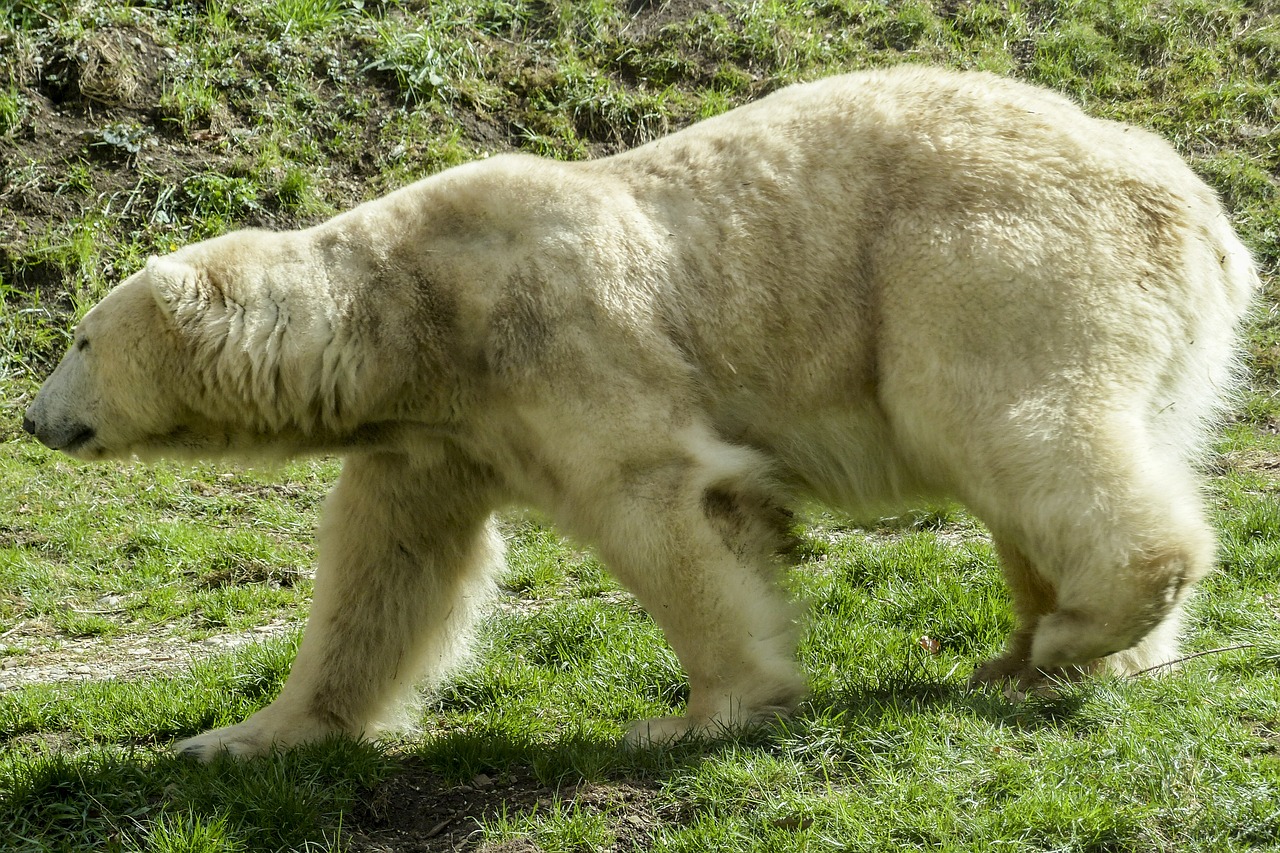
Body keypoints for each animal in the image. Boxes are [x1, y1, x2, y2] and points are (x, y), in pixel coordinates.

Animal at [22, 68, 1259, 758]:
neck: (414, 315)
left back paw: (1074, 628)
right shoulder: (439, 432)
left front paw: (706, 710)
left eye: (78, 338)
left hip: (989, 264)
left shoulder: (562, 342)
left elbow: (656, 498)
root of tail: (1202, 213)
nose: (33, 419)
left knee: (1003, 419)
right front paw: (239, 738)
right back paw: (1048, 656)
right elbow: (387, 570)